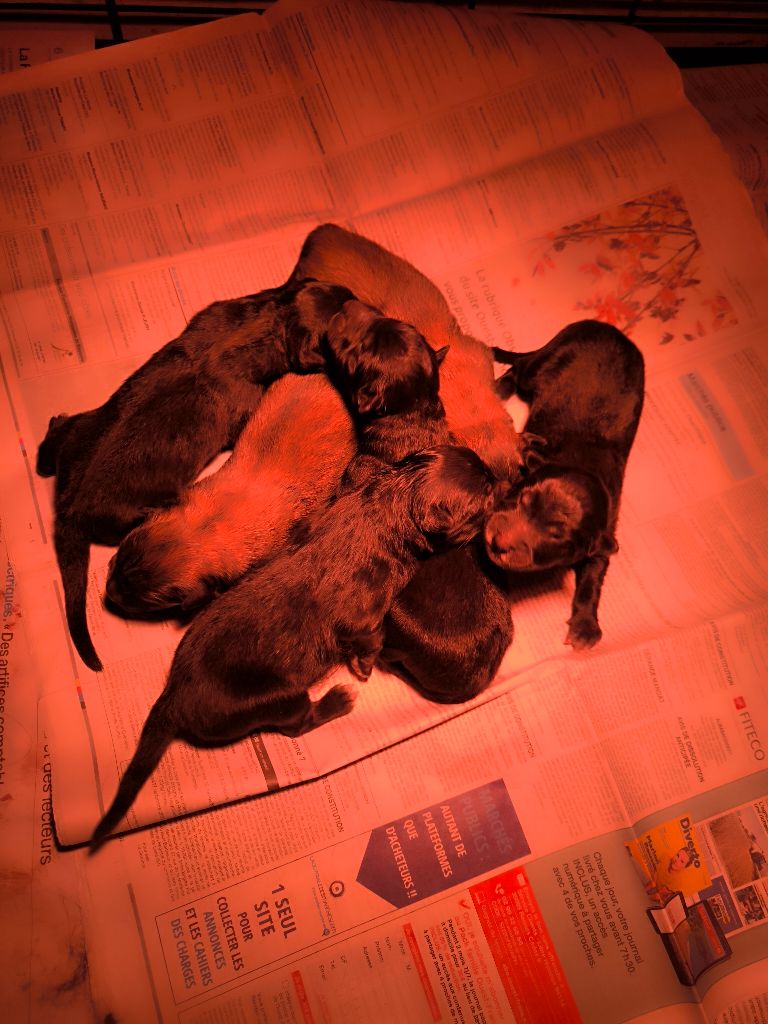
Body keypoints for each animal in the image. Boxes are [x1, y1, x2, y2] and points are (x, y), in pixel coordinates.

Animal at [37, 278, 354, 670]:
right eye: (114, 564)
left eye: (145, 602)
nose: (108, 594)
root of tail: (69, 505)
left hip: (80, 432)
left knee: (59, 431)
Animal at [90, 445, 499, 849]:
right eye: (484, 496)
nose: (498, 477)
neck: (391, 501)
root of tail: (174, 693)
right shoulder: (364, 611)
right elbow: (370, 637)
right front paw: (366, 665)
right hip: (278, 699)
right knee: (298, 723)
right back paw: (337, 701)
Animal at [487, 319, 645, 649]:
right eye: (523, 499)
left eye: (556, 535)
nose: (499, 542)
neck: (584, 466)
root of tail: (612, 329)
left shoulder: (604, 536)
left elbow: (592, 579)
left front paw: (585, 626)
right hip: (547, 361)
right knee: (518, 368)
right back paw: (499, 388)